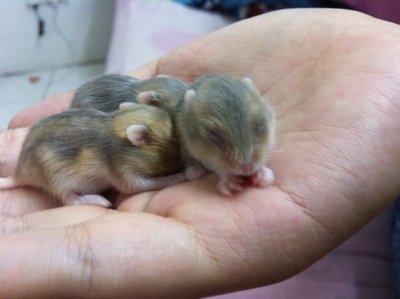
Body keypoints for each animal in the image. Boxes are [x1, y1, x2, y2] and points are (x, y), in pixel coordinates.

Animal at [0, 104, 184, 207]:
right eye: (175, 142)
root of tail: (18, 174)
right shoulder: (124, 172)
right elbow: (148, 183)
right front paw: (187, 174)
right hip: (57, 180)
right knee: (70, 200)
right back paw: (100, 201)